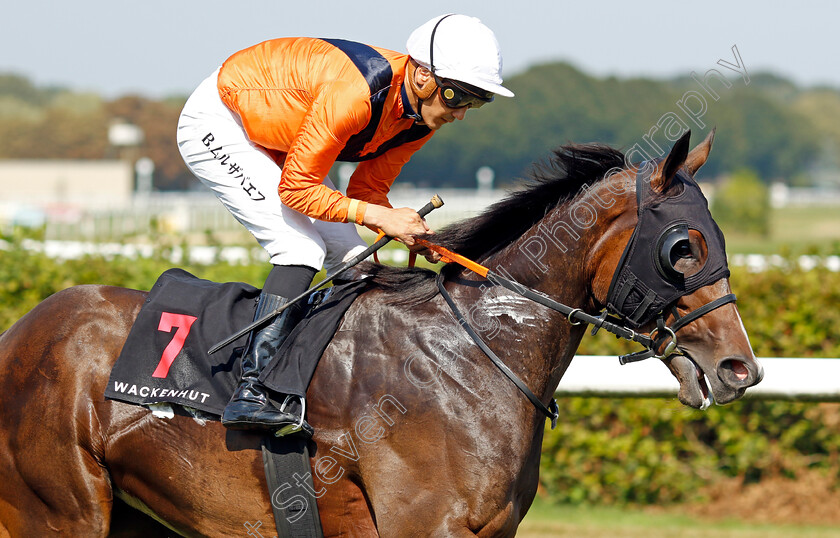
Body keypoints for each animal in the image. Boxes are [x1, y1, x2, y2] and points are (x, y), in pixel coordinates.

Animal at [0, 131, 760, 536]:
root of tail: (18, 334)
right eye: (683, 247)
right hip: (59, 511)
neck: (474, 355)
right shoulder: (422, 524)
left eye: (723, 238)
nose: (740, 369)